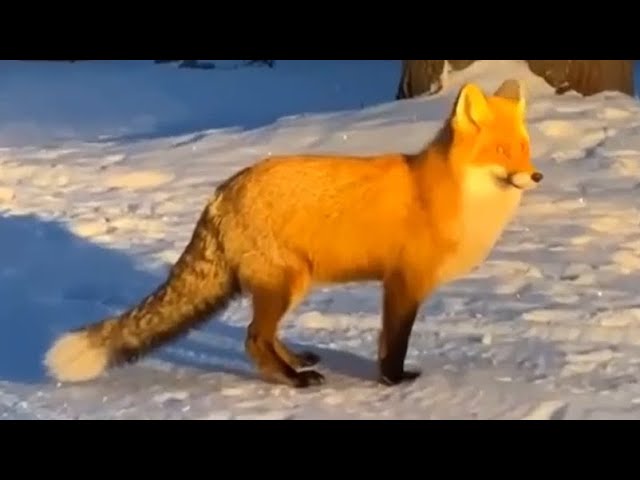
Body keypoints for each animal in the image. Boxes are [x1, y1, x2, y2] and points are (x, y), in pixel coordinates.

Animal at [44, 78, 543, 389]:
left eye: (524, 149)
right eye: (501, 151)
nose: (536, 176)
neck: (448, 195)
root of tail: (222, 191)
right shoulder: (402, 283)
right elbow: (393, 344)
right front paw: (393, 382)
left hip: (289, 286)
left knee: (261, 335)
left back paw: (296, 362)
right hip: (287, 283)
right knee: (253, 338)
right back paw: (293, 380)